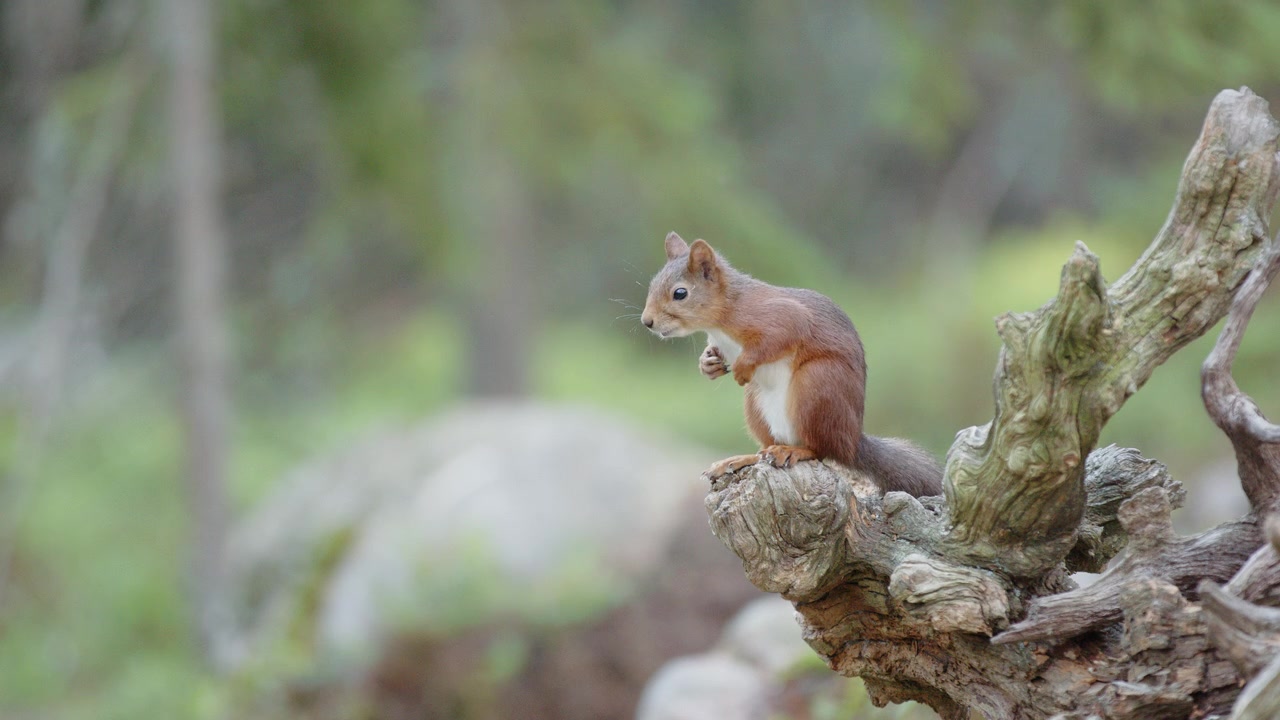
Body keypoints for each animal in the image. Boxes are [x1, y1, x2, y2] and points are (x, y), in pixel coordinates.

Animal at [640, 232, 943, 497]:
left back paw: (794, 451)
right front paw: (708, 364)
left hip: (817, 385)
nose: (647, 321)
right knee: (768, 447)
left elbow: (781, 334)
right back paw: (743, 459)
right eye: (652, 284)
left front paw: (742, 366)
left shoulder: (778, 316)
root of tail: (852, 441)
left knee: (820, 451)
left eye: (680, 293)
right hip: (757, 406)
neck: (723, 316)